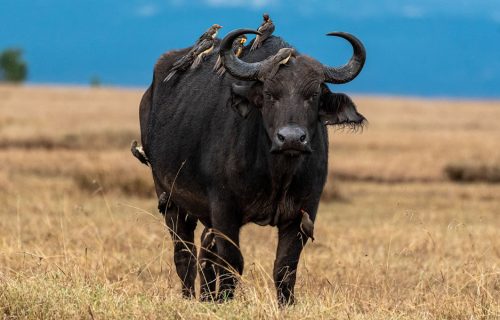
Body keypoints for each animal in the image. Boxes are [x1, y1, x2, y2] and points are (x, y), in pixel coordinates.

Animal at [138, 28, 368, 304]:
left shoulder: (304, 212)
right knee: (185, 253)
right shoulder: (224, 208)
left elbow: (285, 266)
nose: (291, 138)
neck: (277, 174)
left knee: (205, 249)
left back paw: (207, 297)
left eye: (313, 95)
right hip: (170, 198)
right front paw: (225, 299)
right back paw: (190, 297)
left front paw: (286, 303)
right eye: (269, 94)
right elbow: (231, 261)